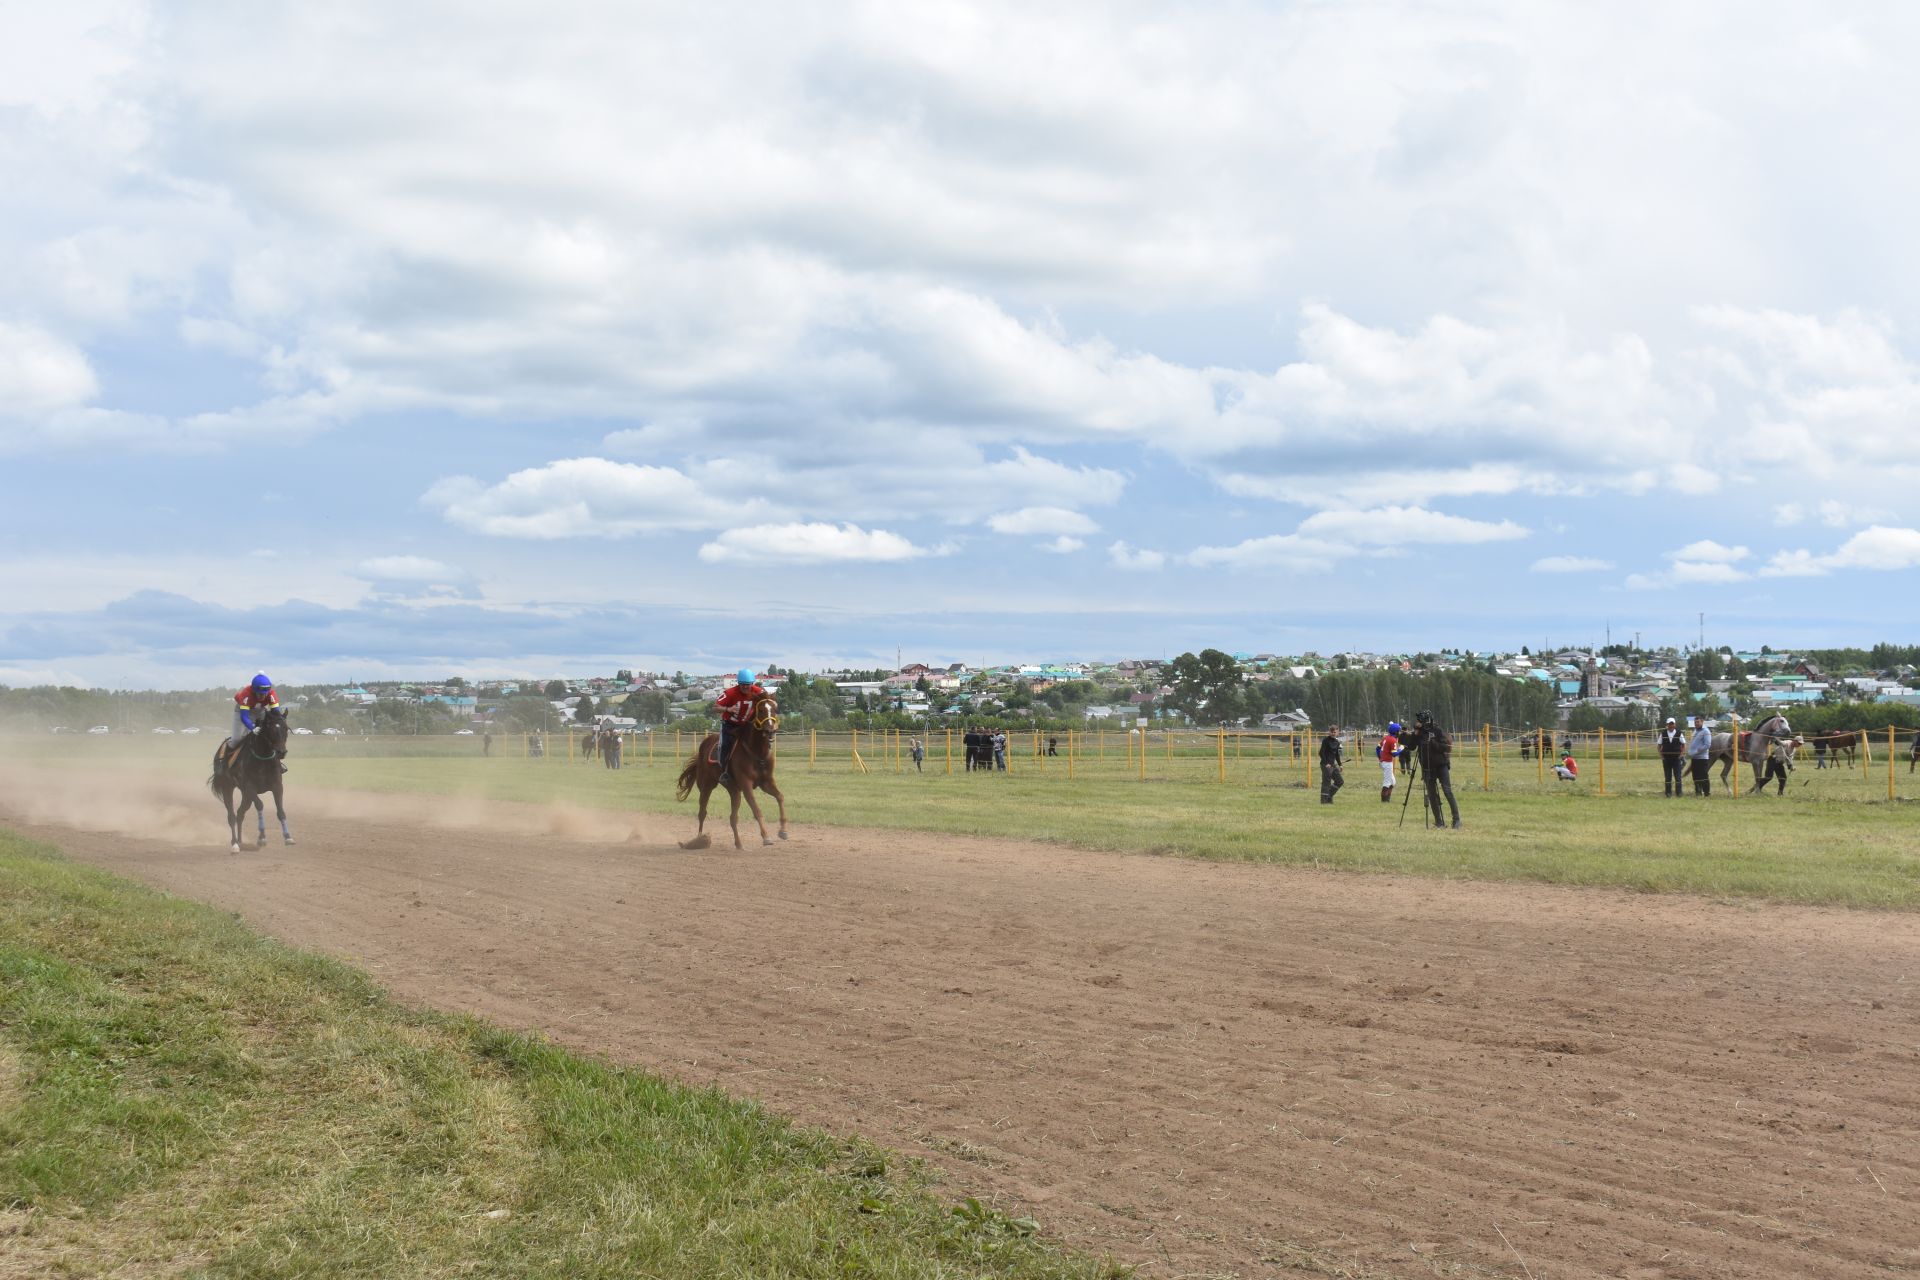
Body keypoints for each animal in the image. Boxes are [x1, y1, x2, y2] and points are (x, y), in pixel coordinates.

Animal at [208, 706, 293, 855]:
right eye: (270, 728)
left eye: (286, 728)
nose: (281, 752)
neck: (262, 758)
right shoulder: (249, 787)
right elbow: (260, 805)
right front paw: (262, 838)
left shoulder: (277, 786)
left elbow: (281, 810)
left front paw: (288, 837)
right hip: (227, 788)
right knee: (231, 816)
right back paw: (235, 844)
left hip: (245, 795)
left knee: (240, 813)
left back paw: (241, 841)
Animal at [675, 690, 787, 852]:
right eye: (761, 710)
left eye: (775, 709)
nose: (770, 730)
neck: (756, 751)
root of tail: (704, 745)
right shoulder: (746, 785)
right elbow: (756, 809)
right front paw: (766, 837)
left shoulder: (766, 783)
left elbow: (780, 797)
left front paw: (783, 830)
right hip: (706, 785)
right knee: (702, 813)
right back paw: (698, 840)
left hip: (734, 790)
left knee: (733, 818)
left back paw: (739, 844)